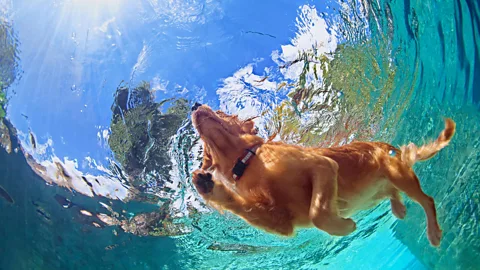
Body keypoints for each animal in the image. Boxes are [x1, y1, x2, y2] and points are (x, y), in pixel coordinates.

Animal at [190, 103, 454, 247]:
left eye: (222, 112)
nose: (194, 105)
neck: (248, 161)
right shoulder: (282, 222)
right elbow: (246, 208)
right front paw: (206, 186)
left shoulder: (323, 166)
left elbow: (317, 213)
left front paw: (344, 226)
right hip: (384, 187)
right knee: (393, 192)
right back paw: (398, 208)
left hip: (399, 174)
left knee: (427, 200)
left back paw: (433, 232)